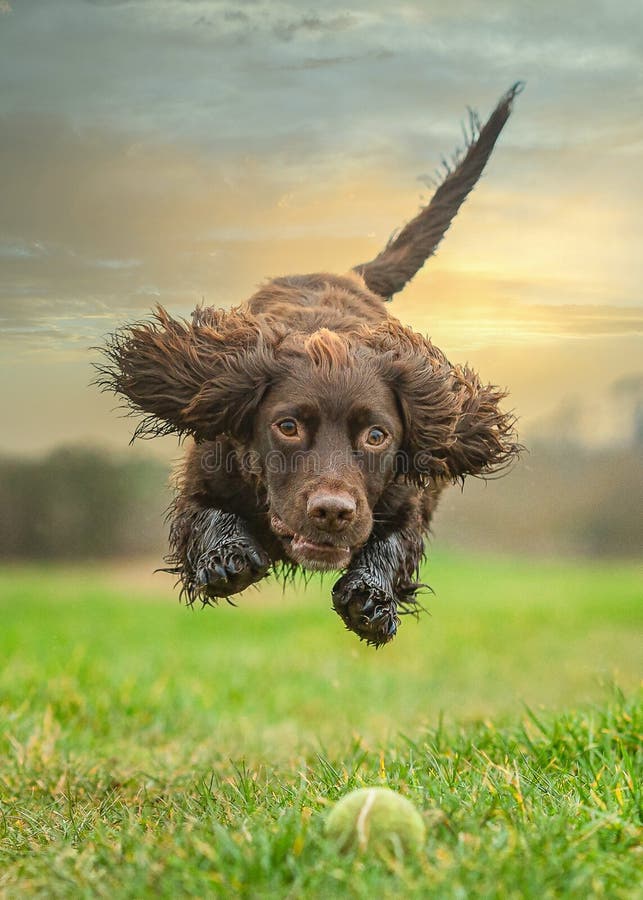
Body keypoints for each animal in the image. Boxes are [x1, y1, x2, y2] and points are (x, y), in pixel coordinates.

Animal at [100, 84, 524, 648]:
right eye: (287, 426)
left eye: (377, 436)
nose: (332, 512)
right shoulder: (206, 466)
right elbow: (203, 514)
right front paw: (225, 557)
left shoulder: (408, 499)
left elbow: (394, 541)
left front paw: (371, 597)